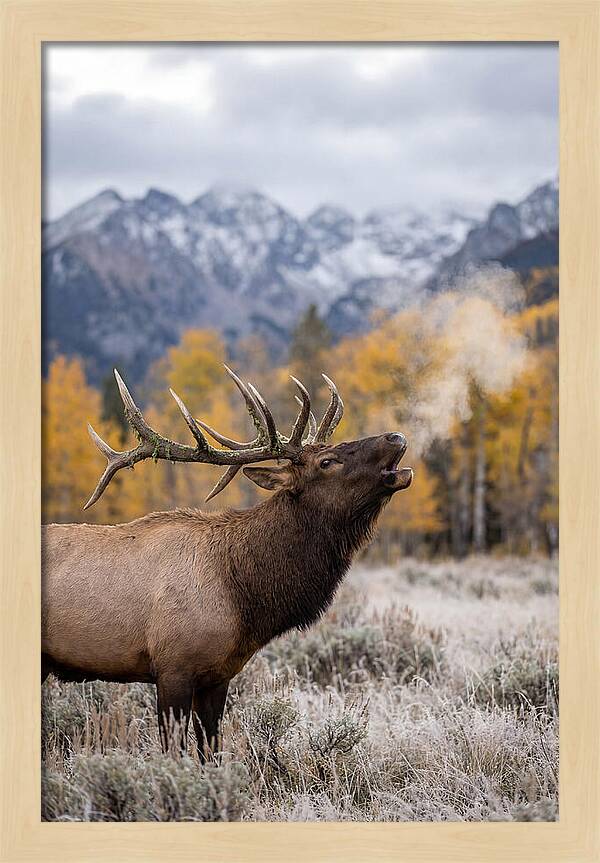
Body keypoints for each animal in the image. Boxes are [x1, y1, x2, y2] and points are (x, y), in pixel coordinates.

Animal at [42, 365, 413, 759]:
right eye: (326, 462)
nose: (395, 436)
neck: (243, 597)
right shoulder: (173, 667)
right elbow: (174, 752)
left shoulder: (218, 676)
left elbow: (212, 750)